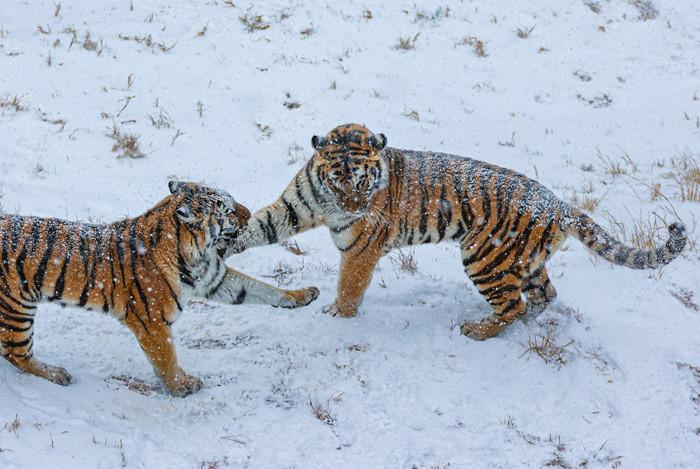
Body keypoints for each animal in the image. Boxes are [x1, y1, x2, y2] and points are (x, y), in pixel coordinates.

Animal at [0, 180, 320, 394]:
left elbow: (259, 288)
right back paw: (57, 373)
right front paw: (182, 386)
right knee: (16, 353)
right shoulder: (152, 321)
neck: (192, 252)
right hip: (17, 310)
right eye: (228, 210)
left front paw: (303, 295)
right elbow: (166, 357)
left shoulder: (215, 278)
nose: (249, 212)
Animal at [227, 122, 688, 338]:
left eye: (363, 182)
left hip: (486, 257)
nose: (353, 208)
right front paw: (228, 239)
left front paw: (338, 315)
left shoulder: (360, 249)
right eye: (338, 179)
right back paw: (524, 322)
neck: (328, 203)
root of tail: (559, 203)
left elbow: (349, 286)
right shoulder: (296, 205)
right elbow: (262, 223)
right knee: (544, 295)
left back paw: (478, 330)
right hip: (527, 260)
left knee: (513, 305)